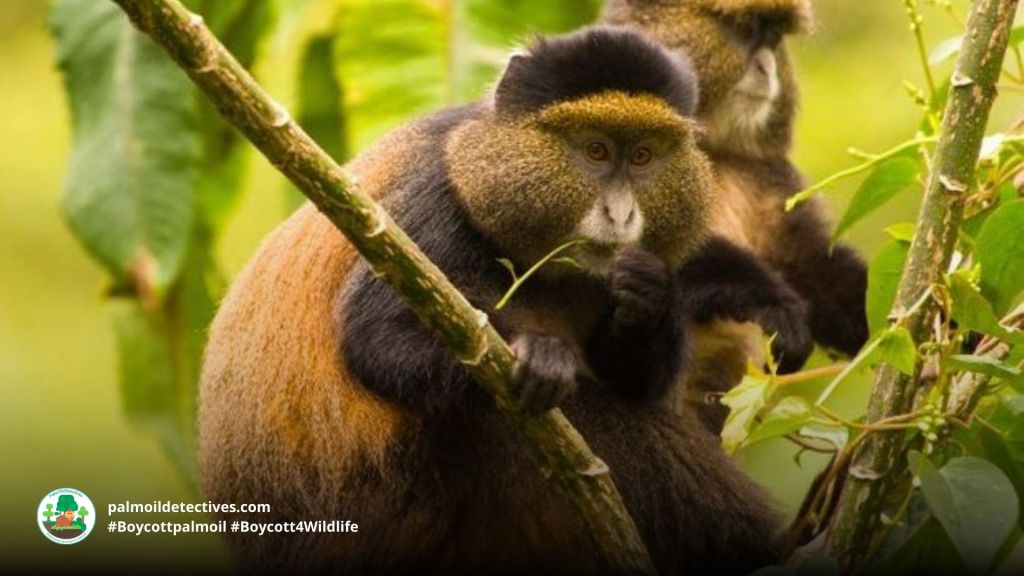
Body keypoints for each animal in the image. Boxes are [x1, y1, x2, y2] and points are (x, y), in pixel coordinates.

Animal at [199, 26, 795, 575]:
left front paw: (650, 295)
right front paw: (544, 359)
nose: (622, 215)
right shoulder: (432, 204)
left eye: (644, 156)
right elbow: (378, 340)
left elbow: (637, 379)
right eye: (595, 150)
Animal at [603, 0, 869, 432]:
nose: (767, 68)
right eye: (744, 31)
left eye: (773, 38)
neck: (711, 148)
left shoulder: (768, 174)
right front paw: (772, 302)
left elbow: (811, 263)